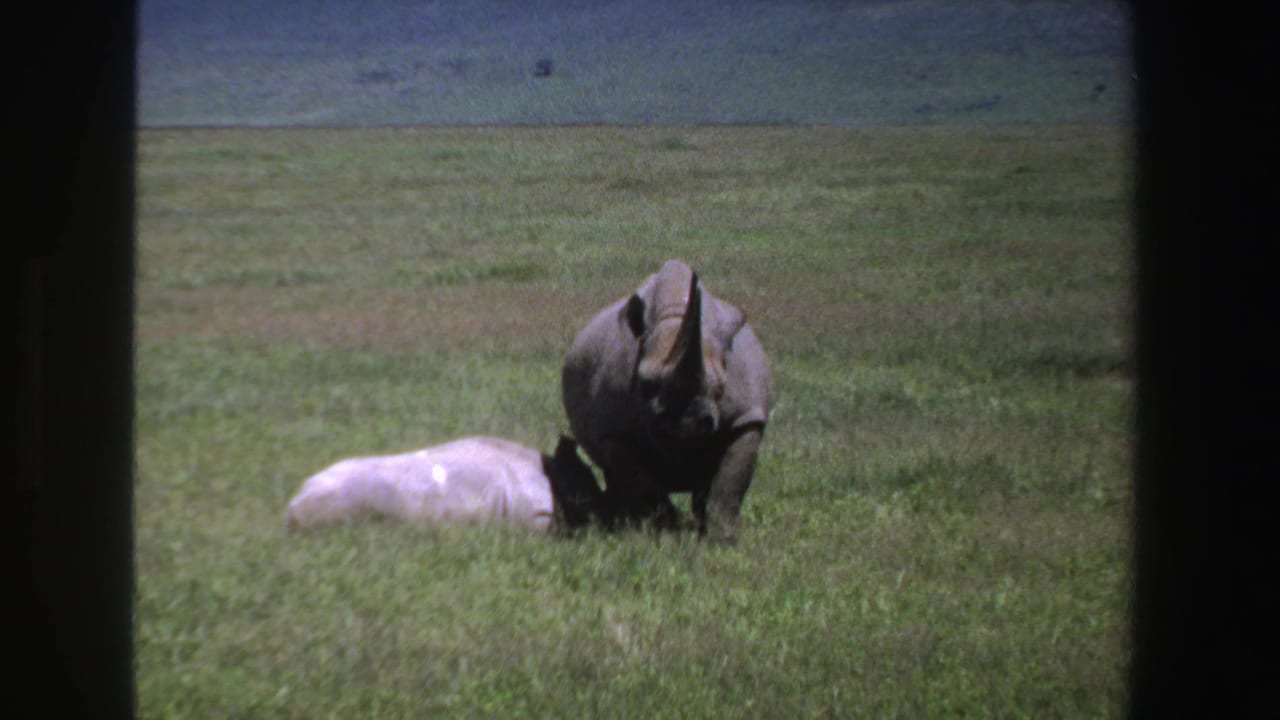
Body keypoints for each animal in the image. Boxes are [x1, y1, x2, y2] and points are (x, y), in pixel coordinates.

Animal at [561, 259, 772, 543]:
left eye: (720, 387)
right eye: (645, 385)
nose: (688, 423)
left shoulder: (746, 417)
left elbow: (729, 485)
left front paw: (723, 539)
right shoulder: (613, 431)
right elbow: (643, 484)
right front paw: (667, 534)